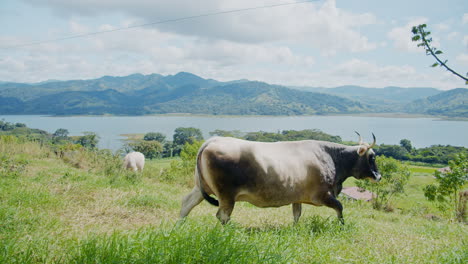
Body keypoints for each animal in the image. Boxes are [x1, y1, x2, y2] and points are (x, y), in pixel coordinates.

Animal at [179, 133, 380, 224]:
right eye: (372, 157)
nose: (378, 176)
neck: (331, 157)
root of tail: (213, 140)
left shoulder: (298, 196)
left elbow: (297, 214)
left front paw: (295, 229)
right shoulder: (323, 195)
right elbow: (340, 207)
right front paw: (341, 225)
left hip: (201, 188)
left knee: (186, 205)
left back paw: (178, 228)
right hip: (226, 194)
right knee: (222, 215)